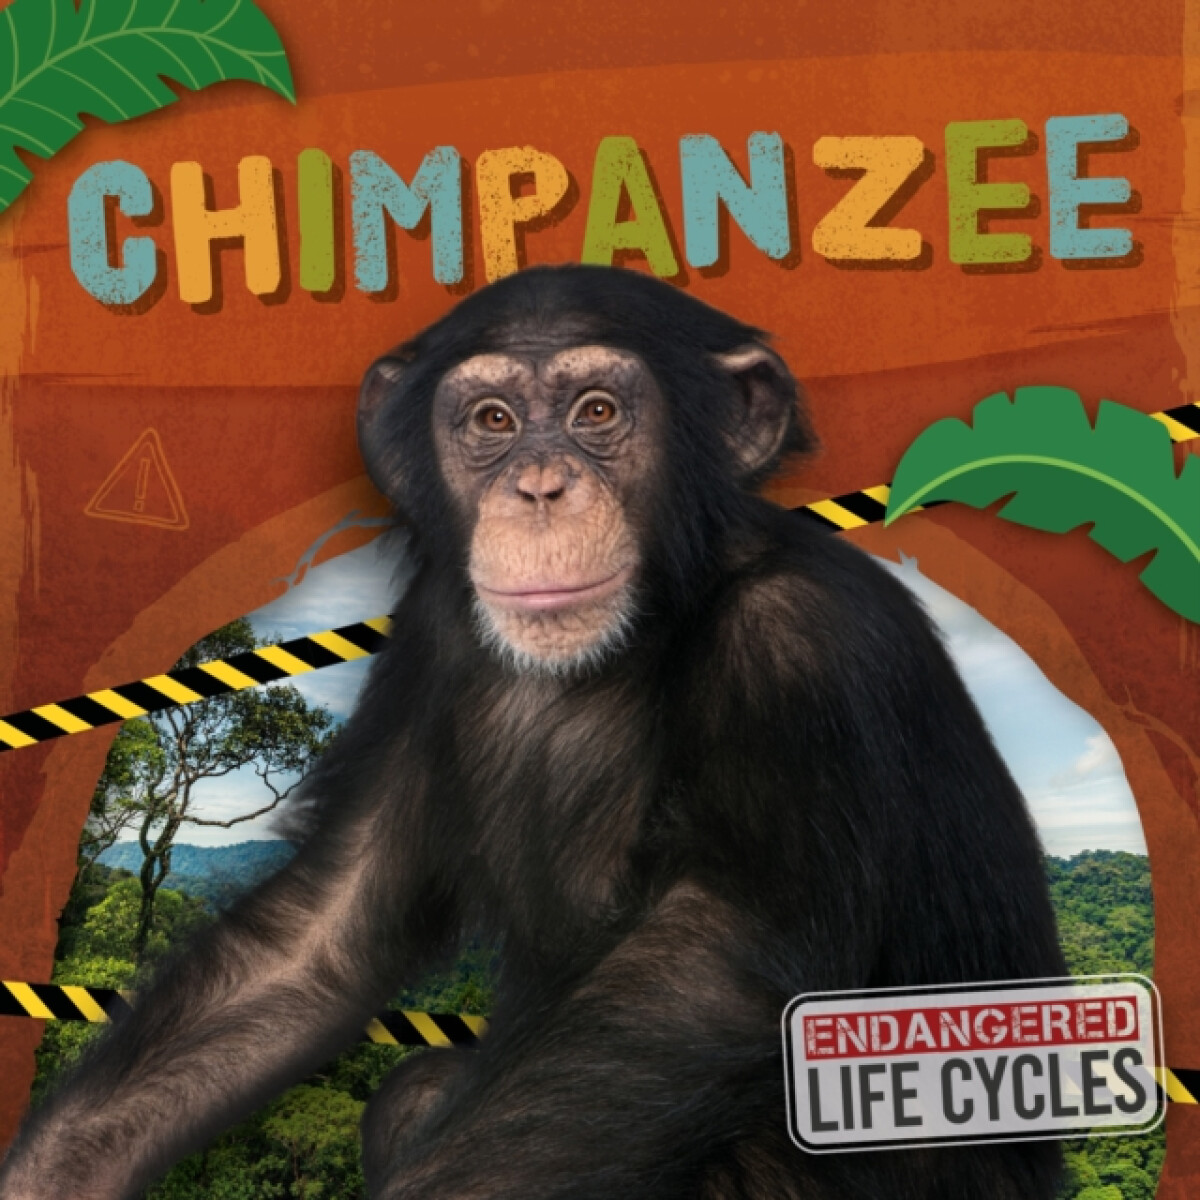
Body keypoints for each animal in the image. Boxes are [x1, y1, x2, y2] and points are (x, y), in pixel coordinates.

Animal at [0, 264, 1065, 1199]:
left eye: (596, 412)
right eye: (493, 422)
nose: (540, 487)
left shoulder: (803, 646)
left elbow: (705, 975)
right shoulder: (433, 636)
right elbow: (324, 932)